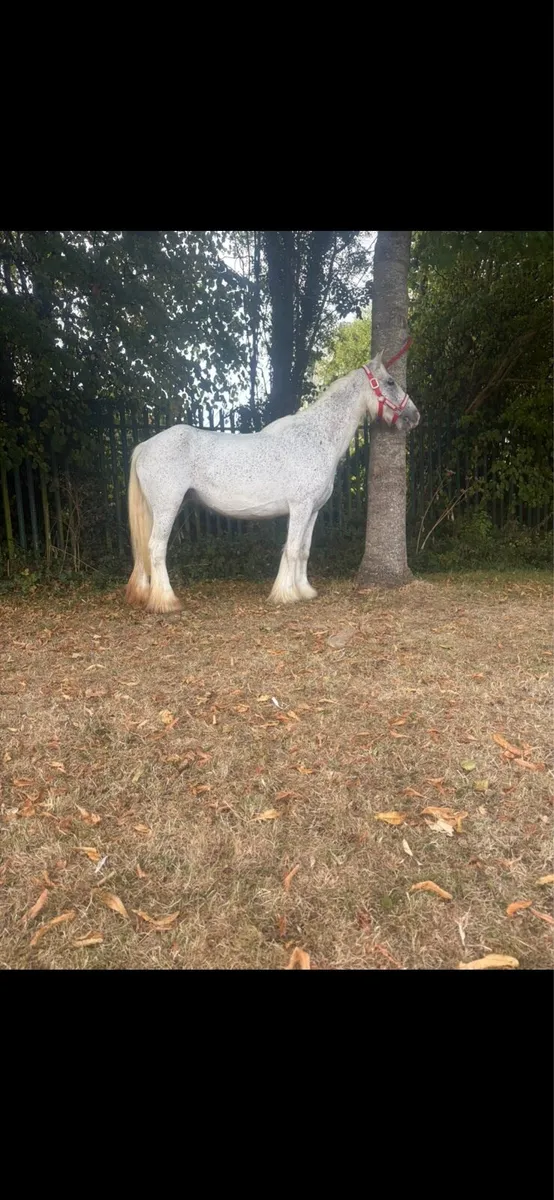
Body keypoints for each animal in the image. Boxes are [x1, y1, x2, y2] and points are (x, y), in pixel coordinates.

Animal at [125, 352, 420, 613]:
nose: (414, 415)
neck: (316, 437)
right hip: (167, 507)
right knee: (156, 548)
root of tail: (145, 445)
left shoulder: (313, 510)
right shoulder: (300, 507)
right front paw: (287, 594)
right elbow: (292, 548)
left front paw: (305, 590)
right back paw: (166, 601)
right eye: (390, 382)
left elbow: (304, 550)